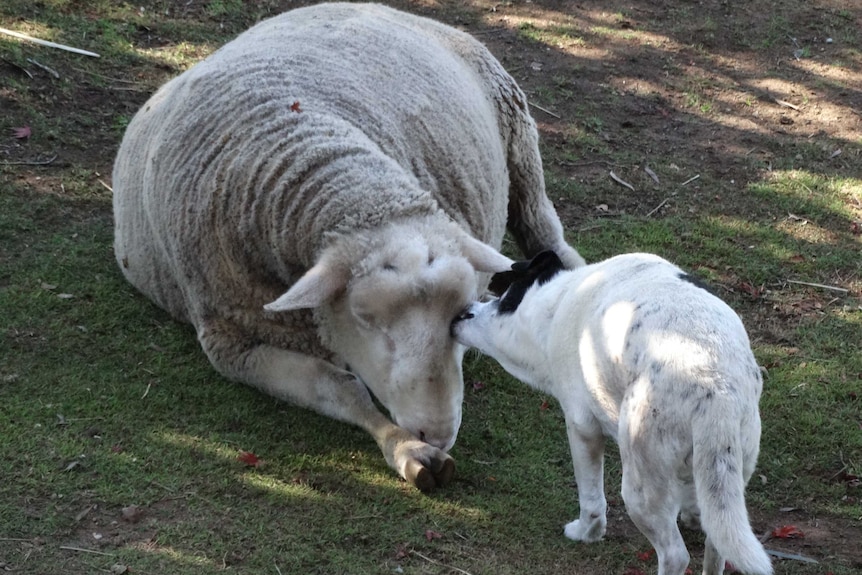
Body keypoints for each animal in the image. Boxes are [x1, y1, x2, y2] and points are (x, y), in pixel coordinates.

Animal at [113, 2, 588, 492]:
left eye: (458, 314)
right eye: (365, 320)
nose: (436, 433)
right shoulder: (231, 345)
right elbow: (340, 387)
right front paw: (406, 448)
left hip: (520, 147)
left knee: (547, 234)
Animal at [456, 251, 772, 575]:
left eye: (504, 300)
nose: (463, 312)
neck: (557, 303)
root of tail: (714, 386)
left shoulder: (582, 428)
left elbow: (592, 499)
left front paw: (586, 533)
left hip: (640, 487)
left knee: (674, 555)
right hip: (734, 465)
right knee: (717, 547)